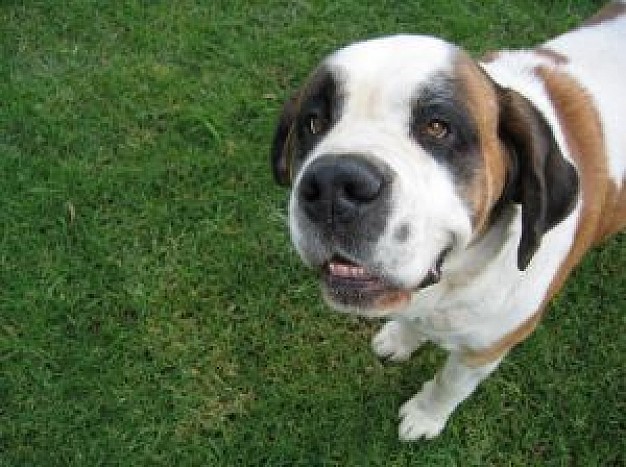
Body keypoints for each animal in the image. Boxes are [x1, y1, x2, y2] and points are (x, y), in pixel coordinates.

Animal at [270, 2, 624, 442]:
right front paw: (402, 337)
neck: (461, 274)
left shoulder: (486, 349)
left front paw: (425, 416)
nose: (333, 184)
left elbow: (449, 384)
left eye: (437, 127)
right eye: (314, 123)